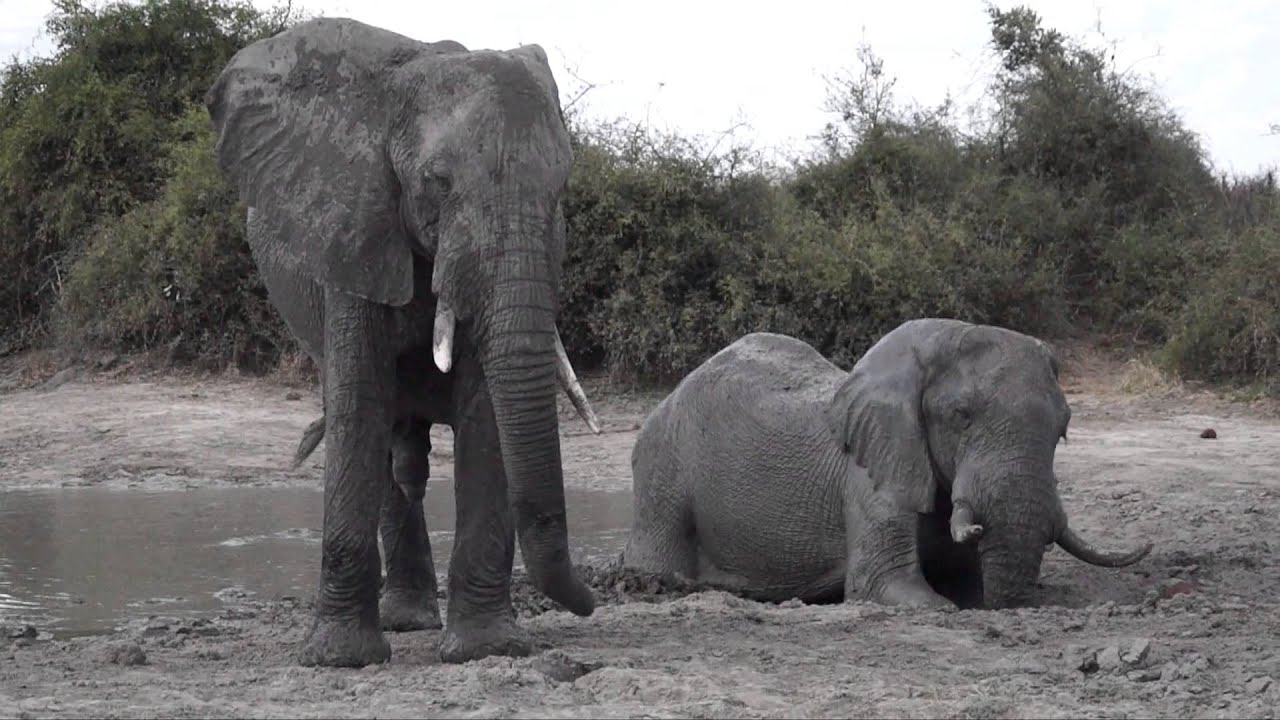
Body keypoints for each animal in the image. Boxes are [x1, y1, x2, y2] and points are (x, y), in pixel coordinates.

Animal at [206, 17, 603, 667]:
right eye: (436, 183)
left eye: (562, 187)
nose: (591, 603)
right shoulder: (352, 229)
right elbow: (359, 404)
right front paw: (339, 660)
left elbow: (485, 409)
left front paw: (486, 650)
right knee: (388, 441)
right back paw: (405, 620)